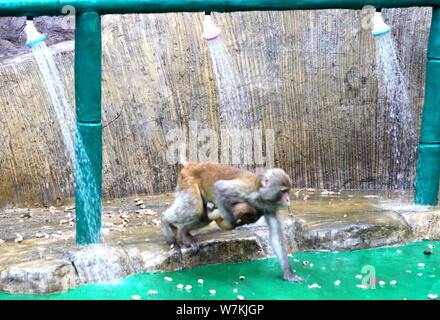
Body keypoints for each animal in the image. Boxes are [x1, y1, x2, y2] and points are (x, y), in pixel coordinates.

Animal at [160, 162, 304, 282]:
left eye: (288, 191)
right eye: (283, 191)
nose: (287, 199)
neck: (261, 193)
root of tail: (191, 164)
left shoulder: (270, 208)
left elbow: (275, 238)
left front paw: (288, 273)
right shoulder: (247, 190)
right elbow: (220, 188)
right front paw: (232, 222)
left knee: (202, 216)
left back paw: (184, 232)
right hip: (188, 182)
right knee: (194, 209)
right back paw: (165, 221)